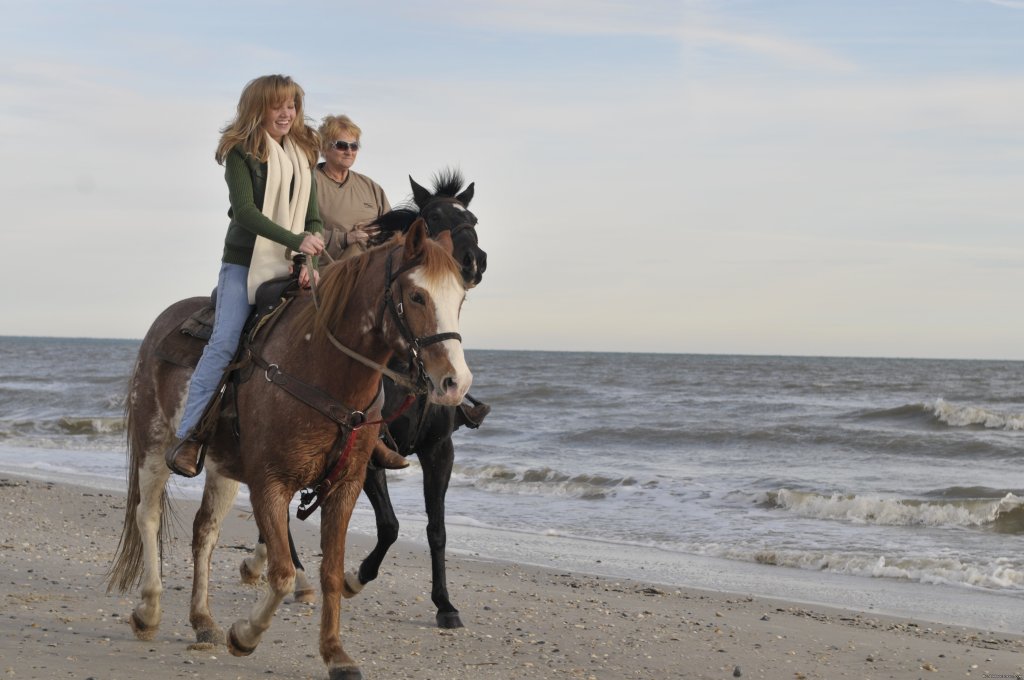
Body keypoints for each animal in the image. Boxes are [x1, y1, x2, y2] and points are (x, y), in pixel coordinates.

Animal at [103, 219, 471, 680]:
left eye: (460, 297)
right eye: (418, 295)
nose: (456, 382)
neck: (320, 368)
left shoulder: (346, 486)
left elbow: (331, 571)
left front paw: (336, 653)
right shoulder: (270, 484)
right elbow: (280, 573)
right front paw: (245, 635)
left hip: (222, 469)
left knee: (205, 532)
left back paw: (202, 620)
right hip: (155, 446)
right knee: (148, 517)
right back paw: (149, 611)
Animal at [245, 170, 489, 626]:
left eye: (473, 218)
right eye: (433, 216)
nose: (473, 262)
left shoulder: (438, 450)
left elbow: (437, 530)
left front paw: (445, 604)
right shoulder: (370, 455)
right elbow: (390, 526)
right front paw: (355, 578)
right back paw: (296, 578)